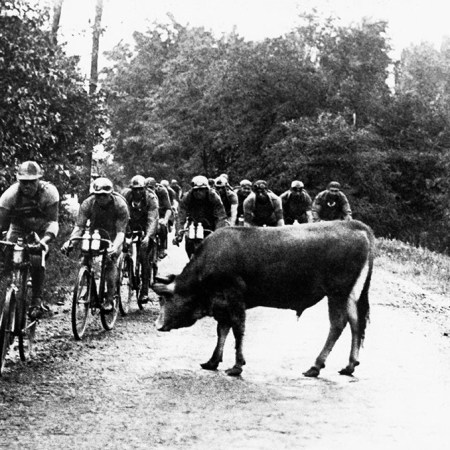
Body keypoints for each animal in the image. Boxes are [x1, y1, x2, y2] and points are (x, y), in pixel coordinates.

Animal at [153, 221, 374, 376]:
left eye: (164, 298)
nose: (158, 325)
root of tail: (355, 225)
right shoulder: (223, 304)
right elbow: (222, 330)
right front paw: (212, 361)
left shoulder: (234, 298)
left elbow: (237, 329)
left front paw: (237, 366)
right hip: (350, 294)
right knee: (356, 323)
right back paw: (349, 365)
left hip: (337, 293)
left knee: (338, 324)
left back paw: (315, 366)